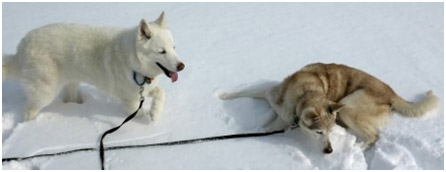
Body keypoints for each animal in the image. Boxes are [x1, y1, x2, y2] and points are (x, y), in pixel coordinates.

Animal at [2, 11, 184, 121]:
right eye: (162, 52)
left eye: (174, 48)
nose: (182, 66)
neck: (133, 62)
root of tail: (21, 47)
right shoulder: (129, 99)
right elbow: (136, 112)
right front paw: (146, 116)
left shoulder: (145, 89)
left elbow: (161, 93)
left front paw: (155, 113)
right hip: (45, 93)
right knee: (28, 110)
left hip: (71, 82)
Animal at [221, 62, 438, 153]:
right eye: (318, 132)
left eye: (330, 132)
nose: (329, 151)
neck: (305, 93)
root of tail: (392, 93)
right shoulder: (272, 94)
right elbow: (246, 92)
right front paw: (222, 95)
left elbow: (266, 129)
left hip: (350, 106)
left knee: (373, 136)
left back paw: (358, 147)